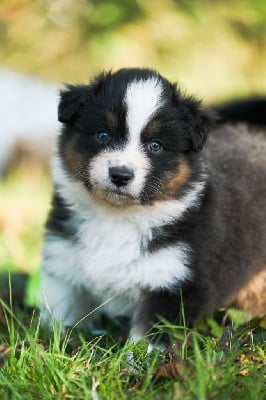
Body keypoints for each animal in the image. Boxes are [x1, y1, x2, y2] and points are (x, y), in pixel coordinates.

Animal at [41, 67, 266, 346]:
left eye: (155, 145)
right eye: (103, 135)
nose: (120, 174)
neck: (117, 217)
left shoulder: (174, 282)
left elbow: (148, 340)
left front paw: (136, 358)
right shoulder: (63, 260)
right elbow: (61, 311)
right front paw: (54, 340)